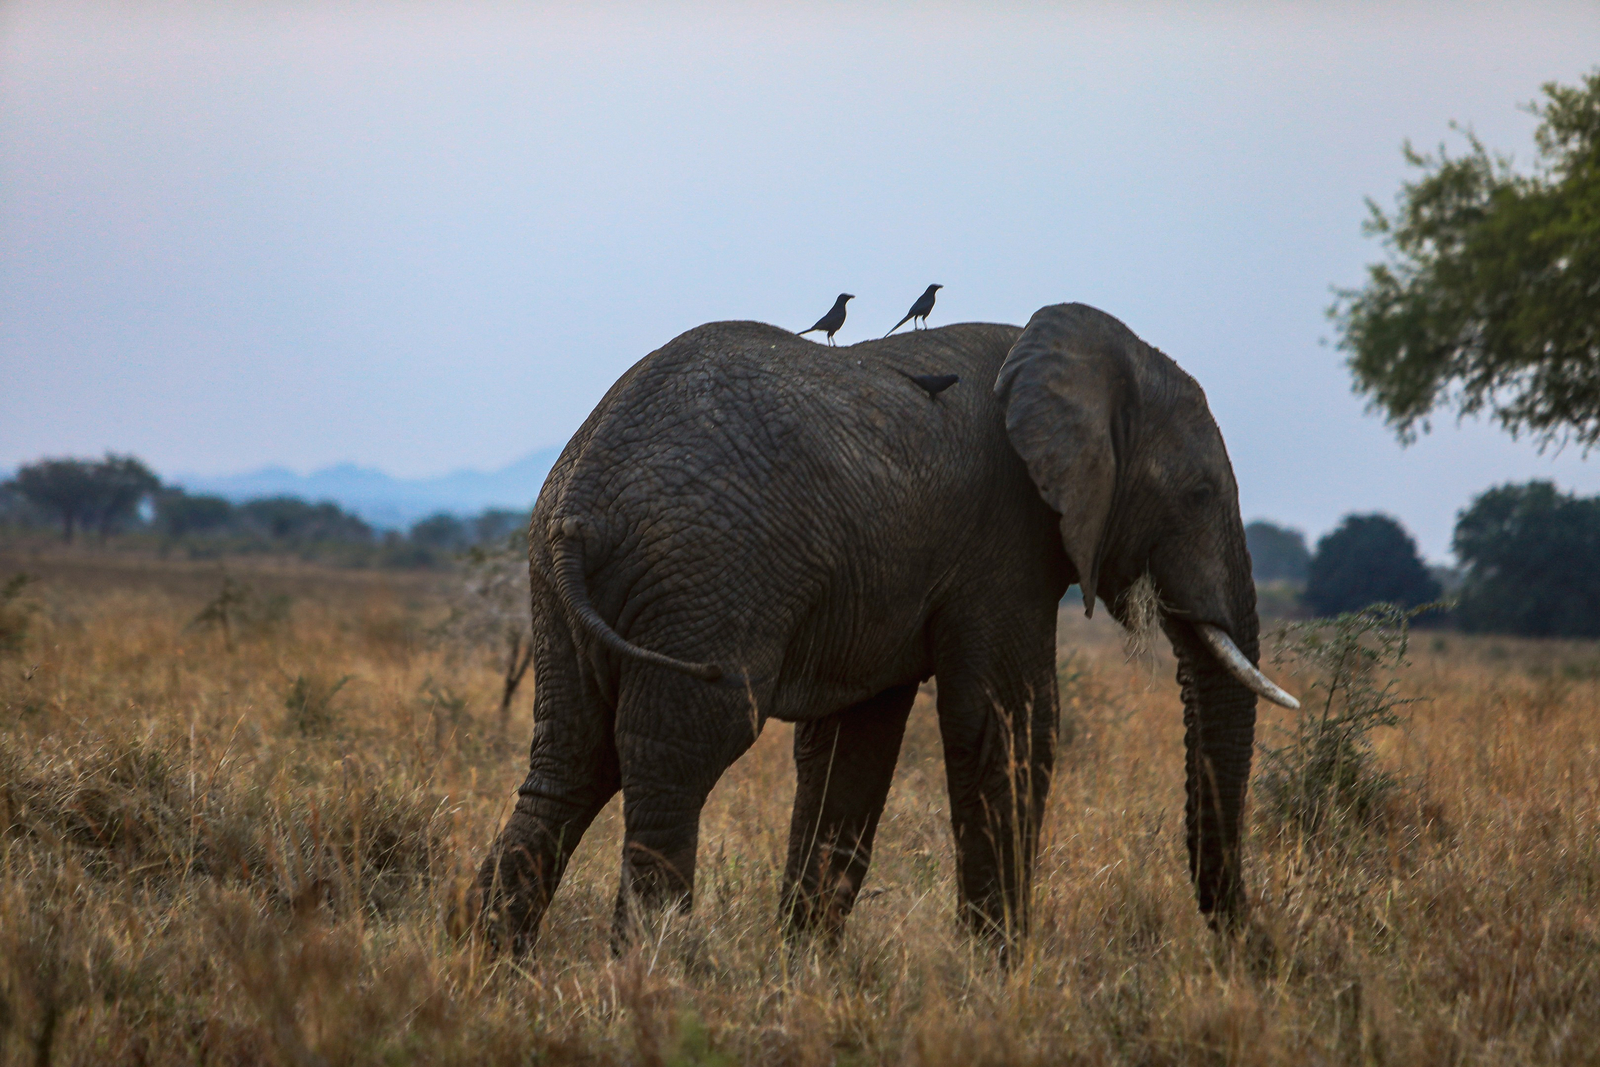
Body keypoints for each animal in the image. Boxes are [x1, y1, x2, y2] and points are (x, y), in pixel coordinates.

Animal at [475, 302, 1298, 954]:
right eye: (1199, 493)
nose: (1249, 945)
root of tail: (580, 506)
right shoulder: (1002, 542)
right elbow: (1007, 724)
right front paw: (994, 975)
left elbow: (855, 745)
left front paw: (804, 971)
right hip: (702, 577)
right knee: (676, 759)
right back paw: (654, 973)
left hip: (564, 595)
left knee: (570, 763)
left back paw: (496, 970)